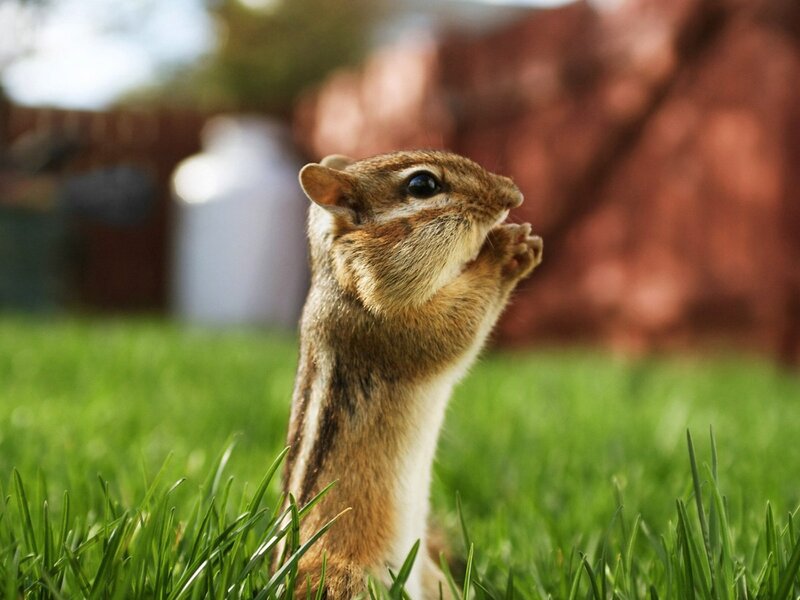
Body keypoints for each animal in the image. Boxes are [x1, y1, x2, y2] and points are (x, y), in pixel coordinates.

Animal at [281, 150, 543, 598]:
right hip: (346, 581)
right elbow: (453, 331)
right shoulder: (389, 325)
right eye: (423, 185)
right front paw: (506, 251)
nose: (515, 194)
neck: (341, 278)